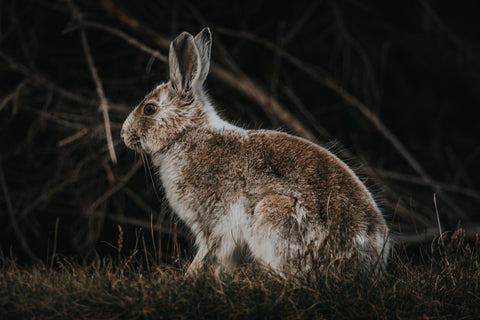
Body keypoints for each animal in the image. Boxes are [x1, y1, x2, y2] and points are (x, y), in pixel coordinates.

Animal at [121, 28, 390, 276]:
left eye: (149, 109)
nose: (124, 135)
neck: (186, 133)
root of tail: (365, 263)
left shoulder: (216, 219)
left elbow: (212, 250)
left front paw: (191, 275)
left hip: (274, 214)